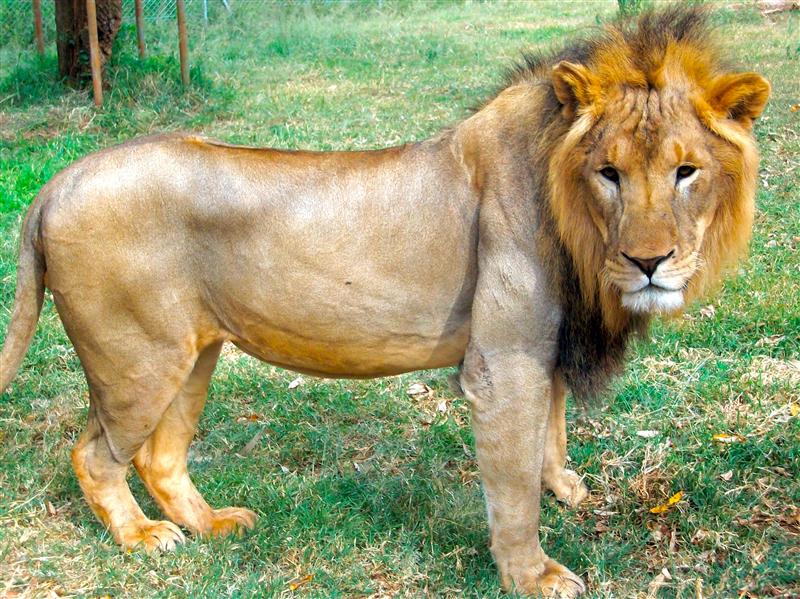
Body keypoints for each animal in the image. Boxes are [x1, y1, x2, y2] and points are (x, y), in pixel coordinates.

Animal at [0, 7, 768, 597]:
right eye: (609, 173)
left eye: (686, 171)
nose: (649, 262)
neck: (566, 200)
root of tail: (56, 183)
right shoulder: (502, 362)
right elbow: (513, 479)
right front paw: (533, 574)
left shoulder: (543, 348)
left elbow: (550, 431)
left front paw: (567, 490)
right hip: (136, 360)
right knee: (94, 455)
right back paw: (143, 538)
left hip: (194, 354)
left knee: (159, 456)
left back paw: (212, 523)